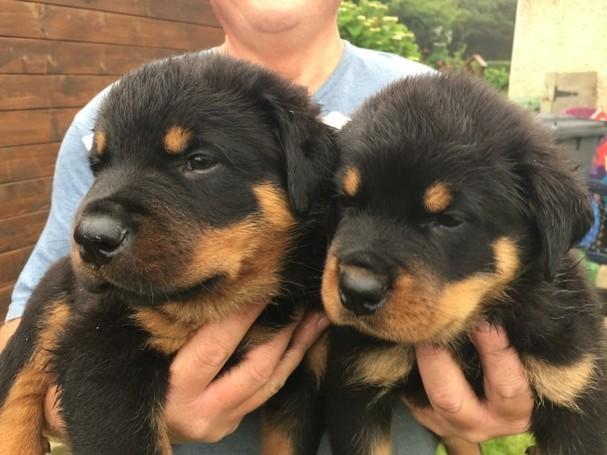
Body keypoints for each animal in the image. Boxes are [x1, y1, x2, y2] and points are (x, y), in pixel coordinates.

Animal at [0, 54, 338, 455]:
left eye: (200, 160)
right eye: (98, 166)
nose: (92, 238)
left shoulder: (301, 380)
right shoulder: (102, 356)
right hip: (54, 300)